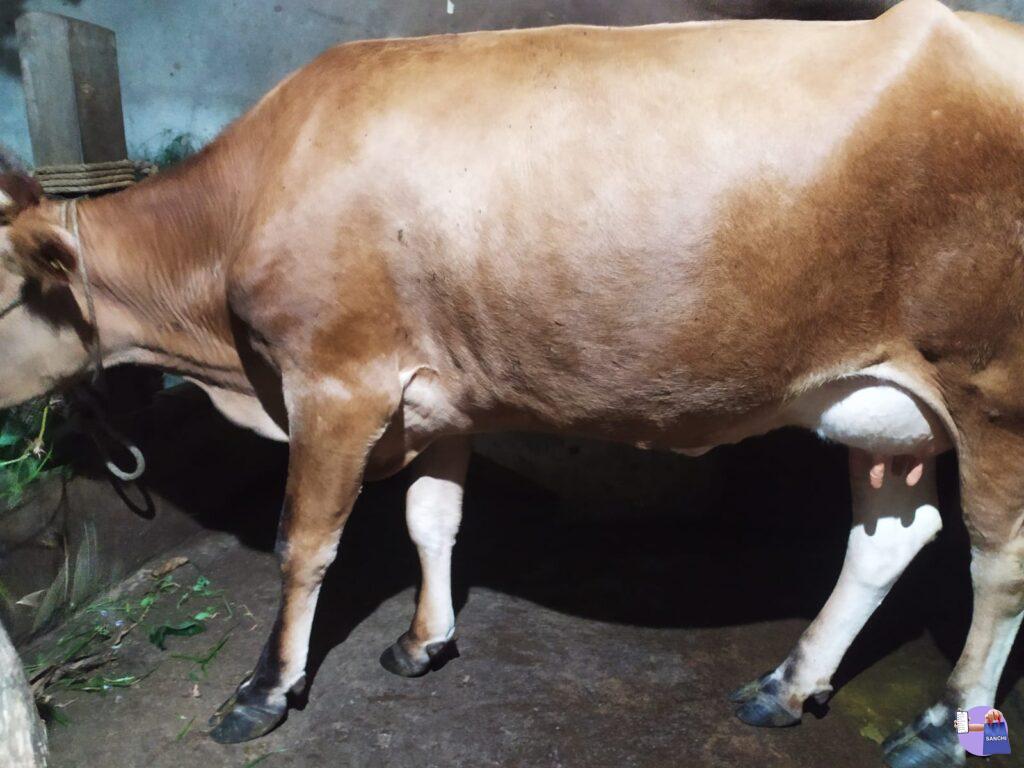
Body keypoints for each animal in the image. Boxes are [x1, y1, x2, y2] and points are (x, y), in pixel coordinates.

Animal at [0, 1, 1021, 764]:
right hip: (886, 404)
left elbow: (304, 545)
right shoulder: (438, 391)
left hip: (989, 387)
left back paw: (941, 725)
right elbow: (431, 519)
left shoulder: (334, 378)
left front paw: (263, 690)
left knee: (996, 561)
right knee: (891, 538)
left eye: (4, 294)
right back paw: (786, 685)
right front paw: (424, 640)